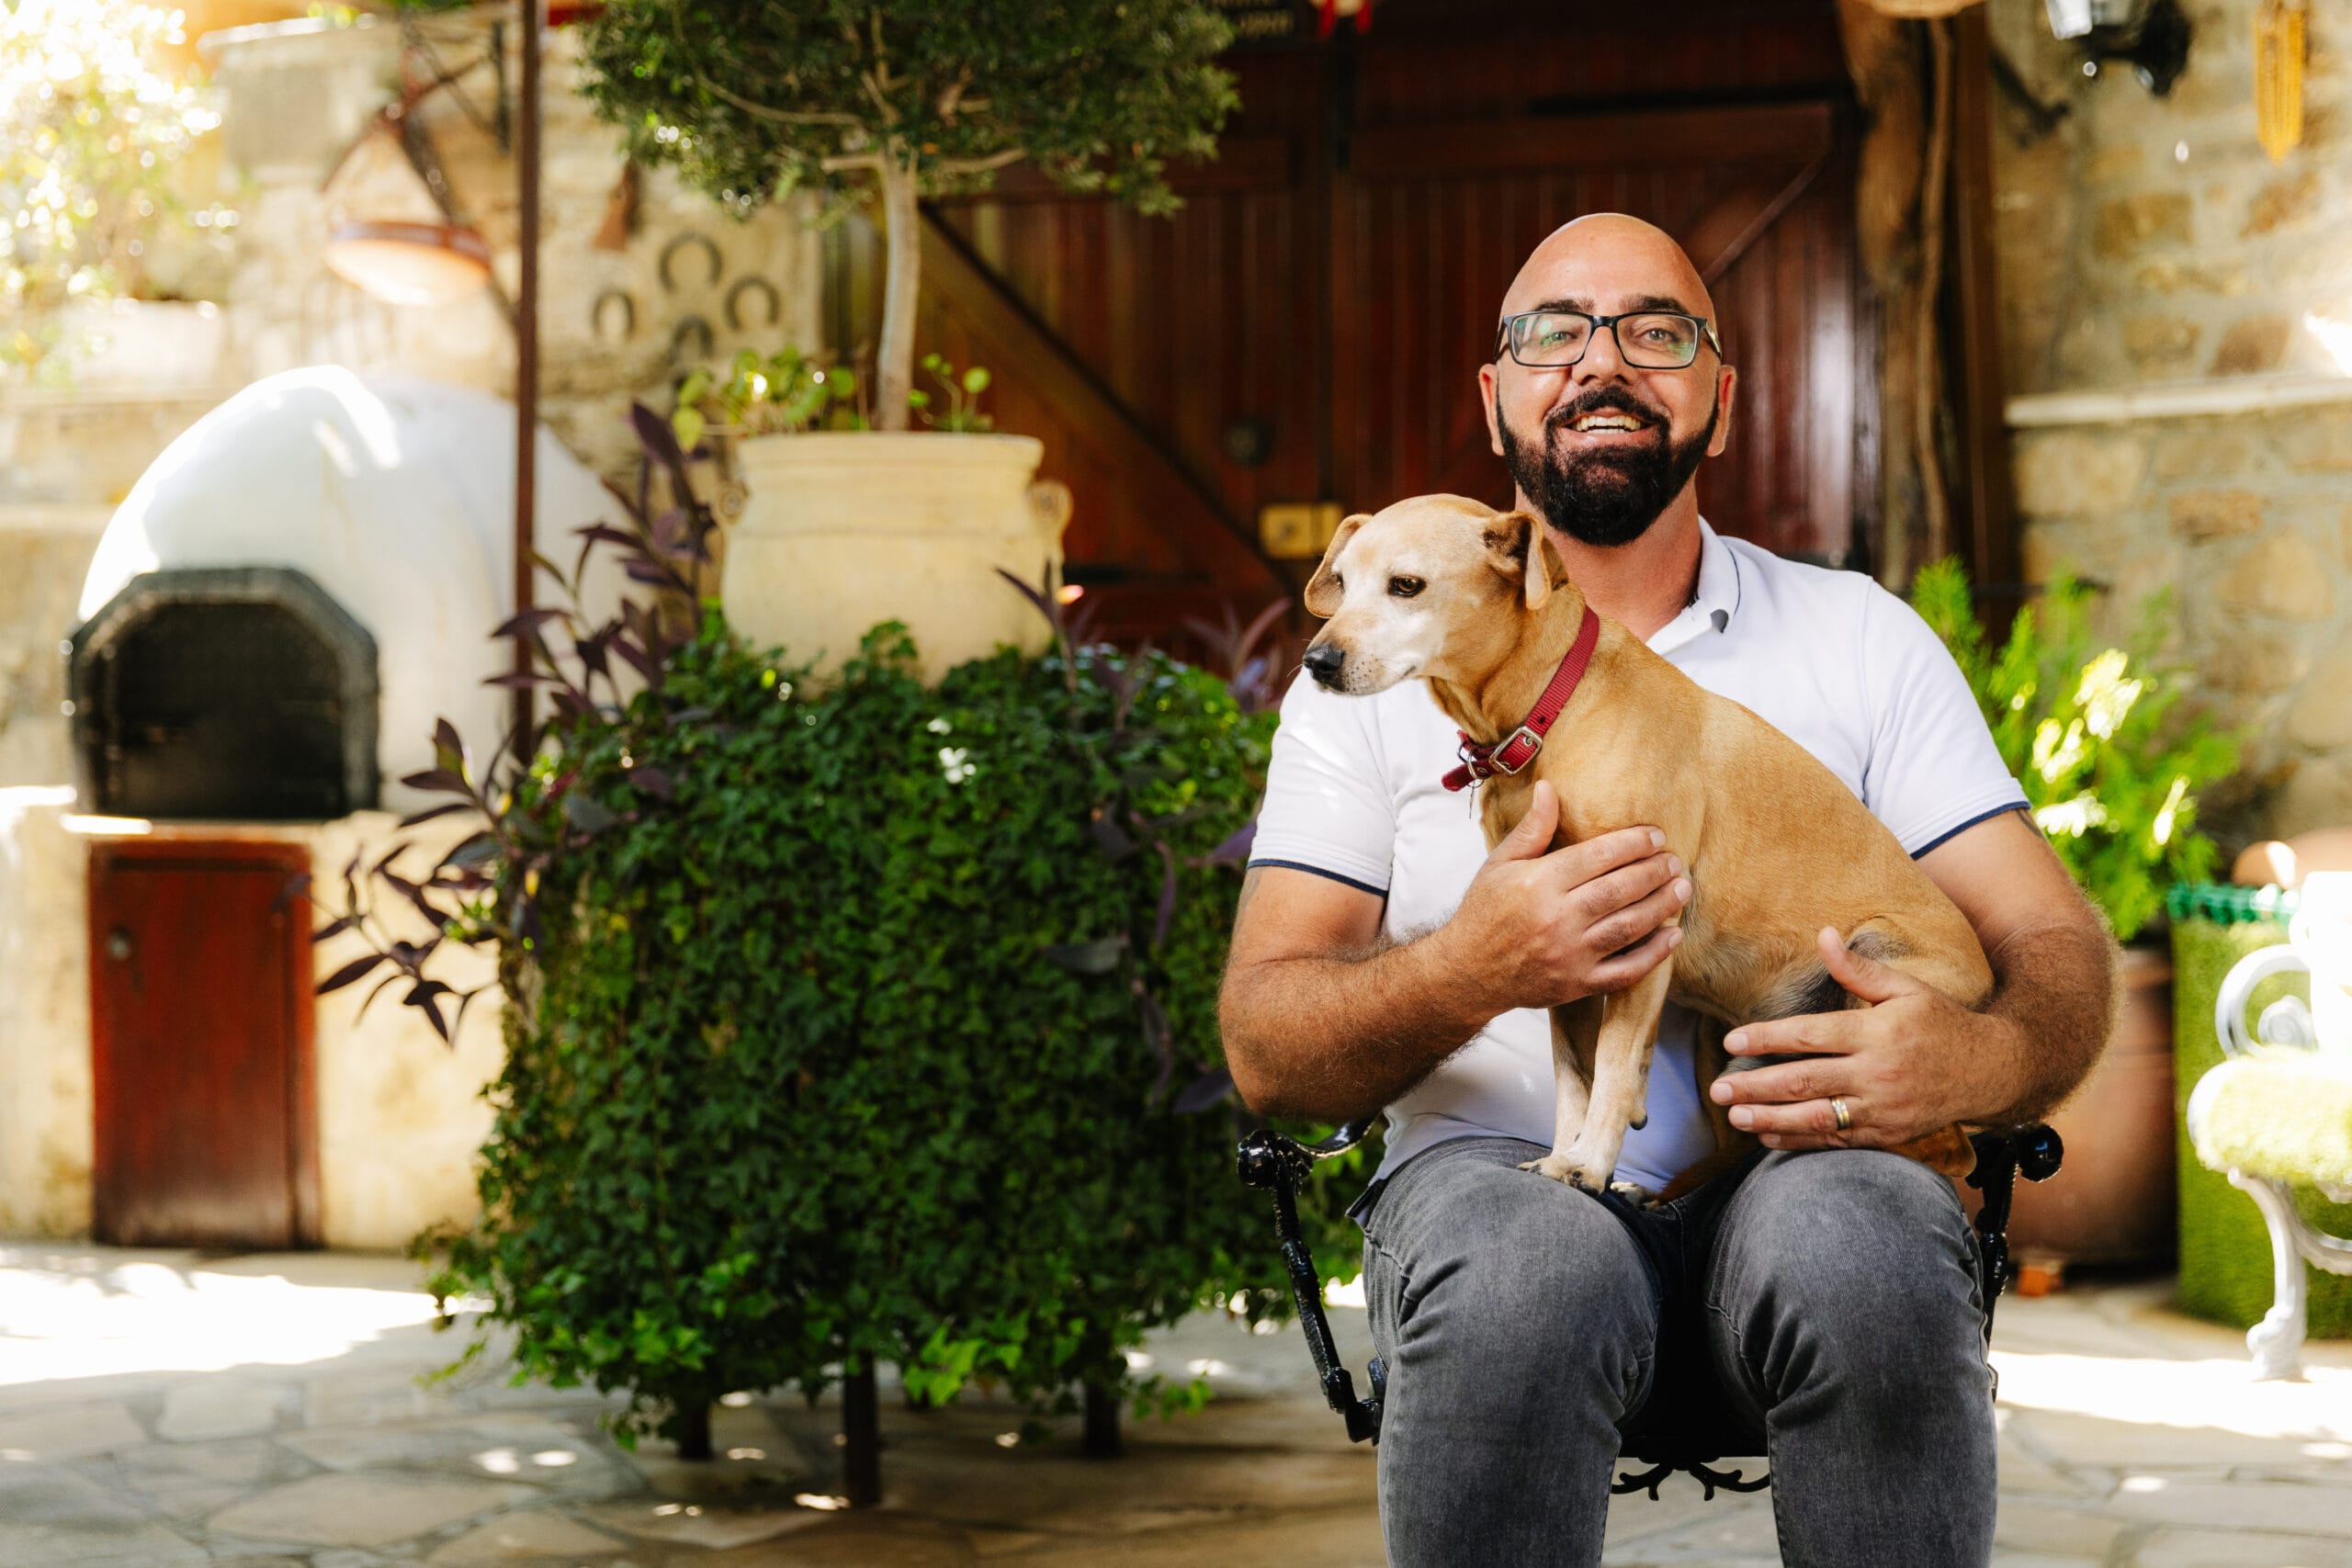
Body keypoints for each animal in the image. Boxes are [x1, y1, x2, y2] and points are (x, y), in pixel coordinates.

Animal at [1300, 493, 1985, 1195]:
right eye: (1343, 583)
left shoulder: (1643, 933)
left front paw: (1589, 1162)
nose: (1316, 662)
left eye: (1406, 585)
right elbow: (1574, 1073)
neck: (1552, 712)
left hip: (1868, 982)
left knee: (1950, 1146)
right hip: (1720, 1048)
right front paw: (1566, 1157)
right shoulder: (1560, 952)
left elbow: (1612, 1064)